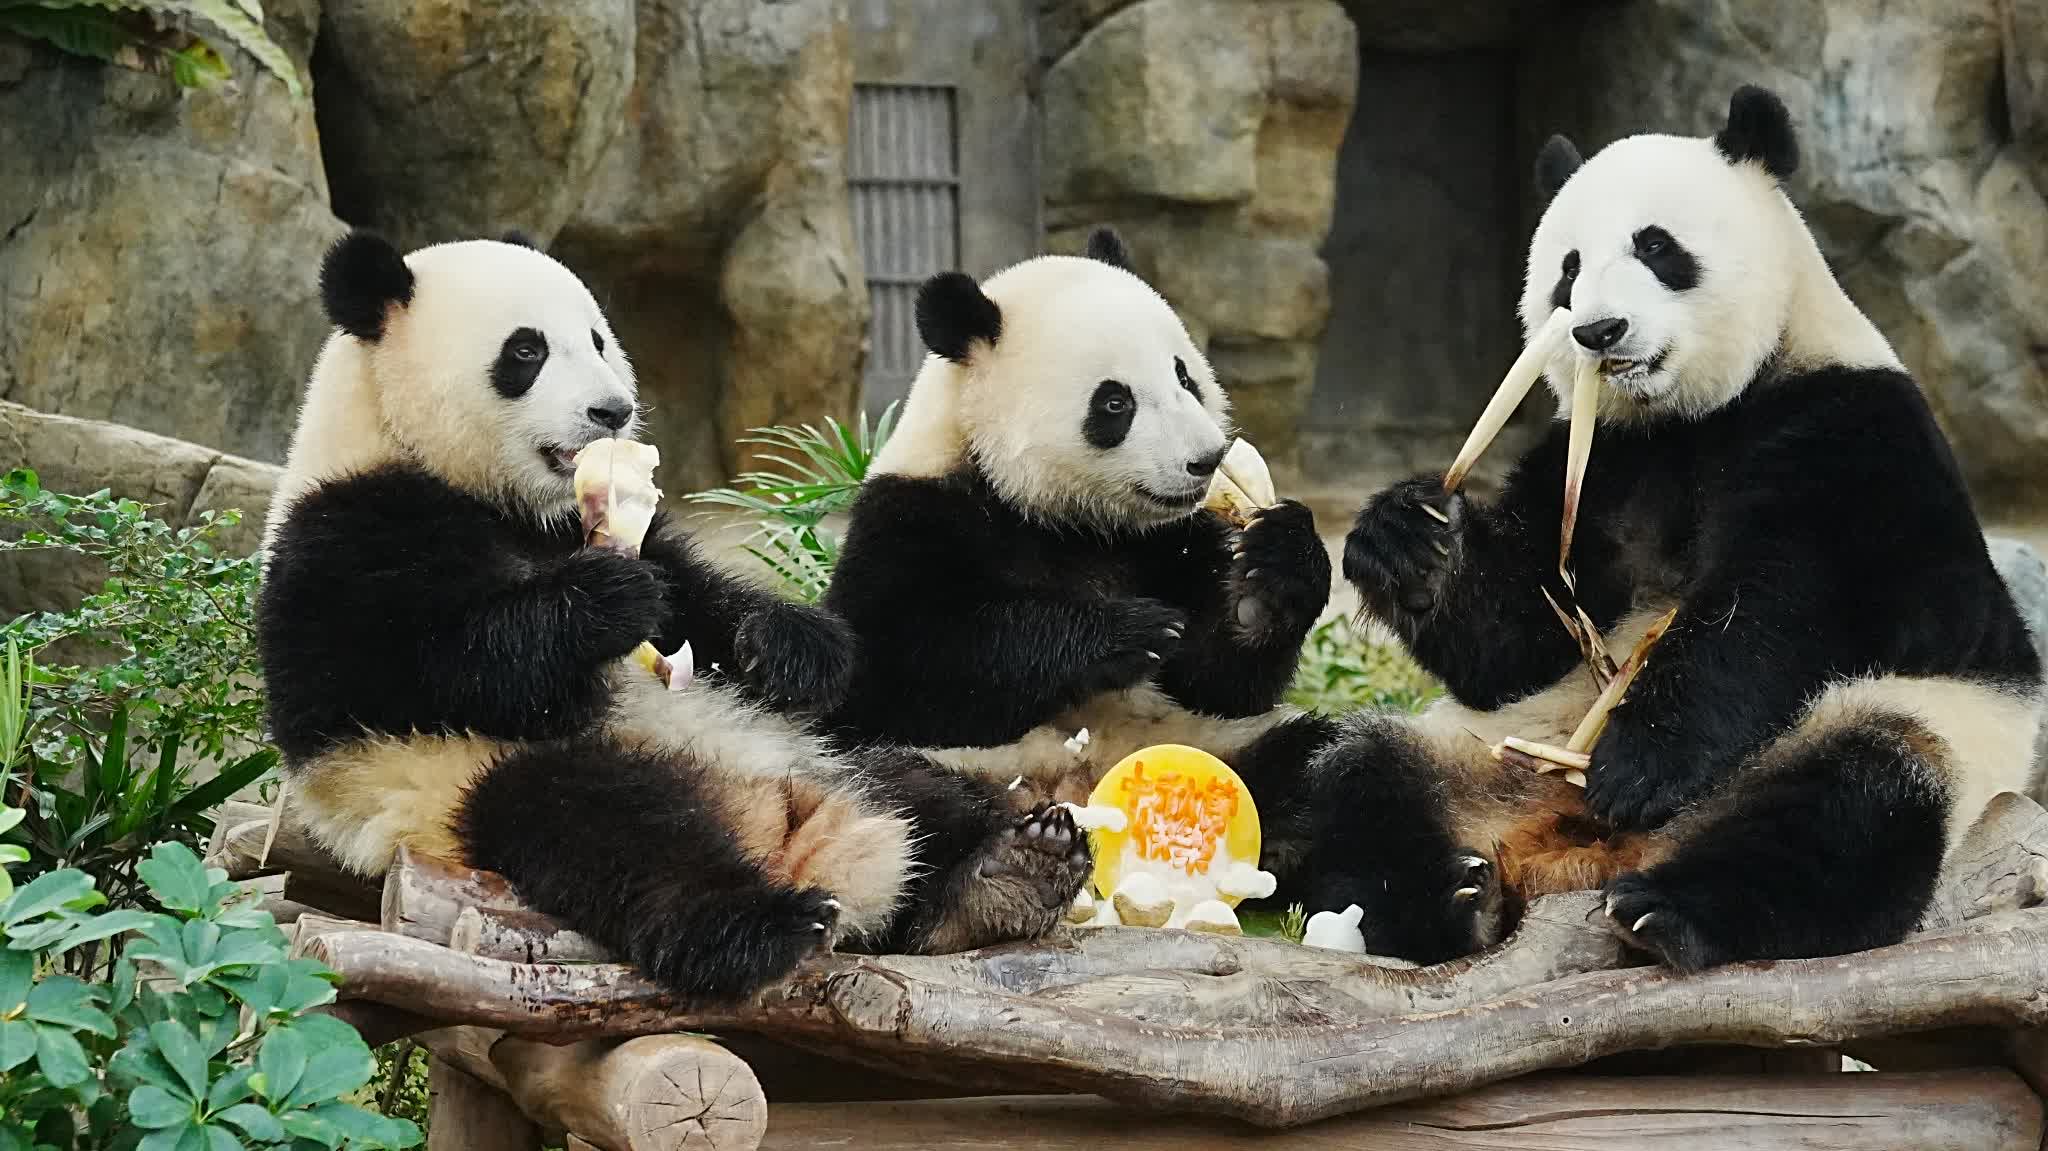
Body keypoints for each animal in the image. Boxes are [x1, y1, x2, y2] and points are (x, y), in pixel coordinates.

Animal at [257, 231, 1090, 998]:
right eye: (525, 350)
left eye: (598, 338)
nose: (612, 409)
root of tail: (783, 827)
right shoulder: (342, 539)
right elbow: (410, 667)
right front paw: (606, 601)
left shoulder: (635, 532)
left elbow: (704, 599)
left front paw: (786, 645)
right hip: (477, 782)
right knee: (622, 839)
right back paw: (765, 924)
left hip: (822, 749)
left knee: (922, 792)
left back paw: (1012, 867)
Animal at [819, 228, 1336, 828]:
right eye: (1115, 402)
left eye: (1185, 376)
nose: (1206, 460)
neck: (1062, 515)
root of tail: (1074, 791)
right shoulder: (910, 516)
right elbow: (885, 667)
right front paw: (1130, 633)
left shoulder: (1170, 540)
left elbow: (1220, 685)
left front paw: (1273, 575)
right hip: (953, 763)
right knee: (893, 792)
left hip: (1216, 746)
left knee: (1330, 757)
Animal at [1307, 85, 2044, 968]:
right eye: (1568, 268)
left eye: (1657, 246)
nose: (1599, 332)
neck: (1691, 418)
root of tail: (1580, 850)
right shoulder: (1603, 461)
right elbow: (1521, 637)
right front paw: (1407, 539)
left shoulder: (1852, 435)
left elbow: (1778, 606)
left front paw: (1638, 762)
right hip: (1489, 750)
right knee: (1359, 774)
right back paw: (1451, 900)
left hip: (1903, 721)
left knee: (1853, 798)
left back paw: (1671, 911)